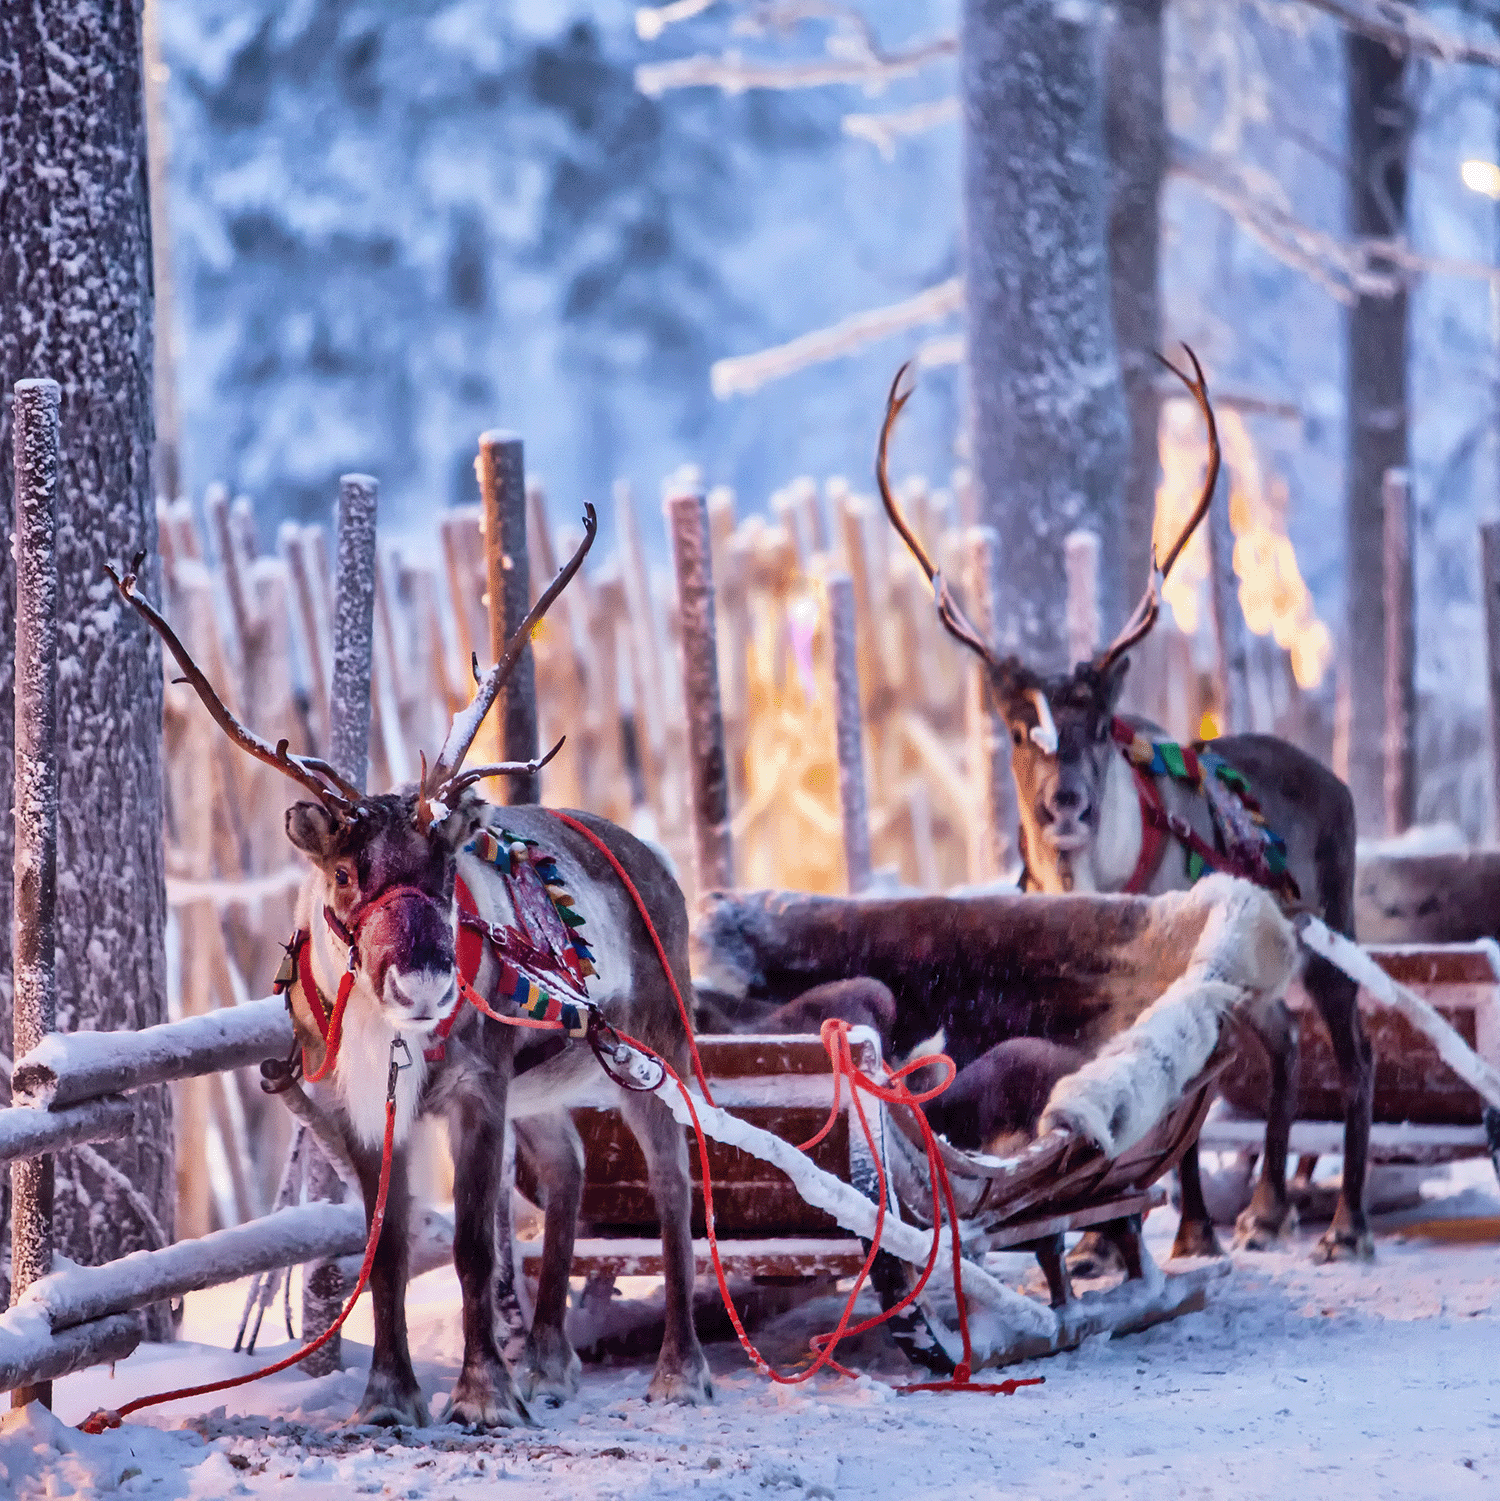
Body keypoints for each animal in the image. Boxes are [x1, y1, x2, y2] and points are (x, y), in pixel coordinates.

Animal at [107, 509, 713, 1428]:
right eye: (345, 872)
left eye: (444, 865)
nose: (424, 984)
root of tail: (657, 861)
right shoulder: (358, 1105)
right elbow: (384, 1248)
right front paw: (389, 1394)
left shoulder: (477, 1090)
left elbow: (470, 1246)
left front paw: (483, 1393)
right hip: (543, 1083)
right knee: (569, 1164)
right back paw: (549, 1360)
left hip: (652, 1048)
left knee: (673, 1181)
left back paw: (680, 1367)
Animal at [875, 353, 1374, 1265]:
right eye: (1017, 727)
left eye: (1098, 725)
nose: (1064, 803)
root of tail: (1336, 780)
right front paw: (1103, 1241)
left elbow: (1173, 1112)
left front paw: (1186, 1232)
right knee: (1287, 1048)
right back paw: (1266, 1209)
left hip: (1331, 933)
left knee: (1357, 1056)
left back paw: (1344, 1223)